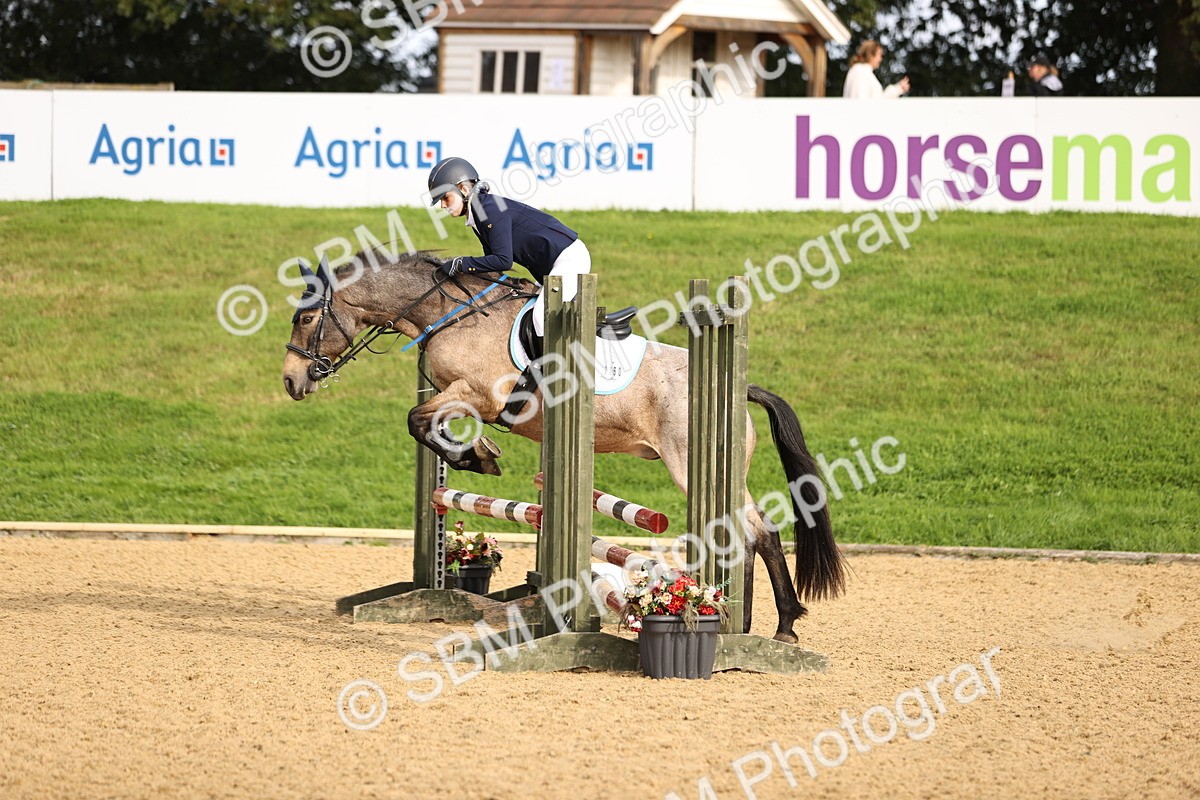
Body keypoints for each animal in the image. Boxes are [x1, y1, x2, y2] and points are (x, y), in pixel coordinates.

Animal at [281, 250, 845, 643]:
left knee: (748, 534)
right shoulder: (459, 395)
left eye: (305, 319)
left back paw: (749, 622)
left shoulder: (478, 394)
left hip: (691, 465)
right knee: (762, 532)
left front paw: (476, 456)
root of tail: (737, 385)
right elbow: (428, 422)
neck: (448, 312)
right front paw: (477, 452)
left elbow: (418, 422)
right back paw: (775, 623)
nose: (290, 381)